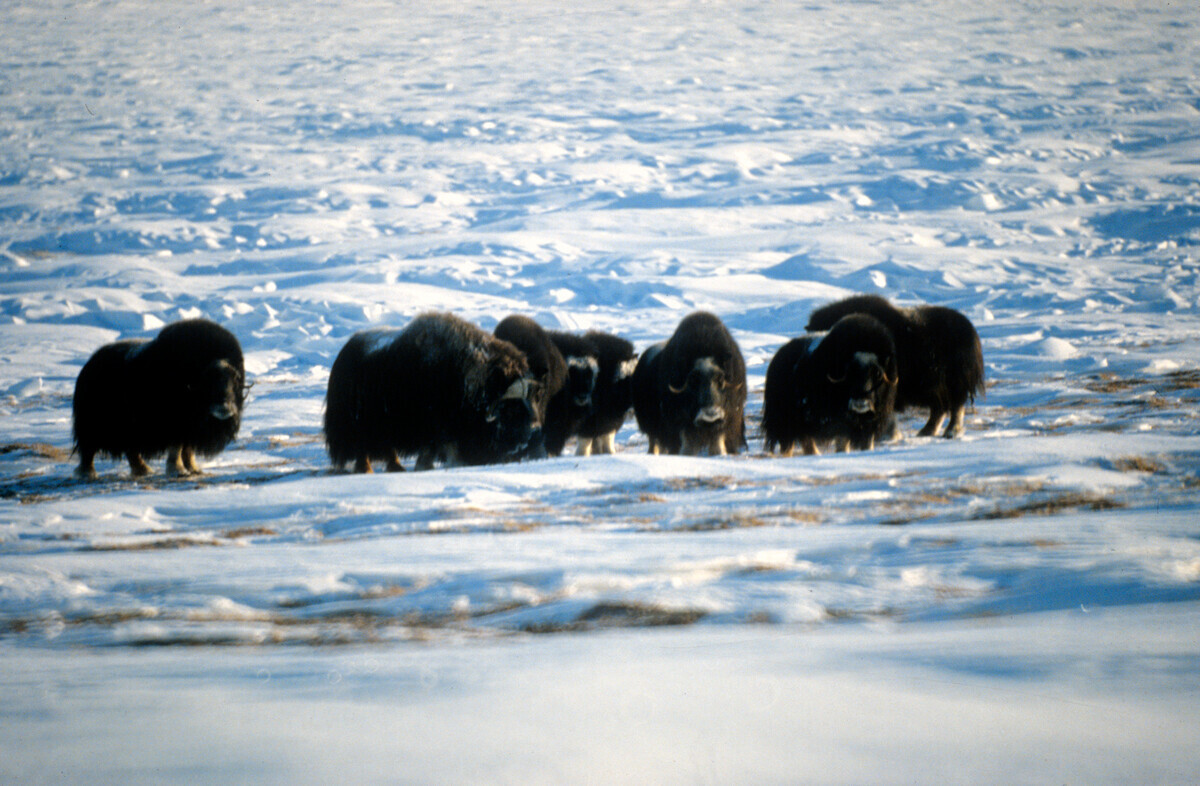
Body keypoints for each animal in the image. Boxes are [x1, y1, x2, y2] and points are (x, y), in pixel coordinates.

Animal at [71, 319, 244, 480]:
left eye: (234, 380)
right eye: (209, 380)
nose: (225, 408)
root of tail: (89, 364)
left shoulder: (191, 427)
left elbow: (188, 449)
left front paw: (194, 469)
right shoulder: (176, 422)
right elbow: (177, 447)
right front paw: (178, 470)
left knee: (130, 450)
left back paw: (143, 470)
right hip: (93, 425)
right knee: (88, 449)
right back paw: (88, 473)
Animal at [324, 312, 540, 472]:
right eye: (511, 410)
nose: (524, 442)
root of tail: (344, 352)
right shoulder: (435, 423)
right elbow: (436, 445)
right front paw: (428, 465)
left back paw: (396, 467)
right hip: (356, 424)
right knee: (362, 447)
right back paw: (367, 468)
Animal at [633, 309, 744, 456]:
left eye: (720, 378)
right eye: (693, 380)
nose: (710, 417)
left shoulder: (727, 418)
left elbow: (718, 442)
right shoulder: (681, 422)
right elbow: (687, 445)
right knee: (655, 442)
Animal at [763, 314, 897, 456]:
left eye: (877, 373)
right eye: (850, 371)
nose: (861, 402)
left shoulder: (869, 424)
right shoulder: (839, 423)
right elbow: (842, 443)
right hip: (785, 422)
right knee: (789, 444)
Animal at [806, 296, 984, 441]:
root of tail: (970, 329)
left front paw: (888, 436)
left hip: (954, 384)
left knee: (956, 407)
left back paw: (950, 432)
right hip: (935, 389)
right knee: (939, 409)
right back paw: (925, 432)